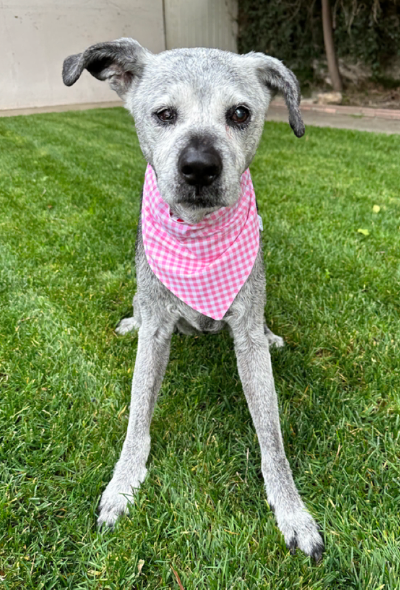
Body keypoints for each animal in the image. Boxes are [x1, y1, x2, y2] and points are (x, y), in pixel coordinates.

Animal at [62, 38, 324, 564]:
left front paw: (292, 512)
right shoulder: (158, 331)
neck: (198, 243)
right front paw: (122, 486)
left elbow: (272, 436)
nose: (200, 166)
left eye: (240, 113)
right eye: (164, 113)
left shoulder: (246, 337)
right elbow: (137, 414)